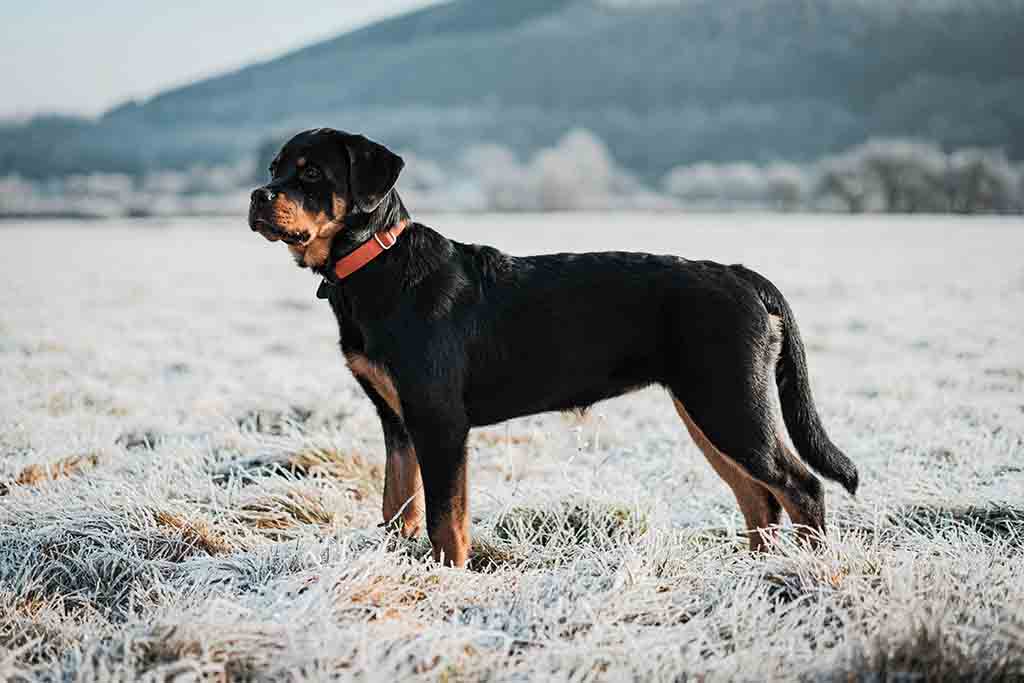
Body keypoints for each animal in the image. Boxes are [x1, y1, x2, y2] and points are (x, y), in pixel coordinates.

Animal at [247, 127, 856, 565]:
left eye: (312, 173)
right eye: (275, 168)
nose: (257, 194)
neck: (376, 265)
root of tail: (742, 275)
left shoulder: (439, 420)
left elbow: (447, 519)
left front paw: (449, 580)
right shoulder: (396, 420)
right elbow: (400, 505)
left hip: (730, 403)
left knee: (801, 487)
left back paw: (810, 572)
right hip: (710, 410)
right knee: (759, 498)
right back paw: (759, 573)